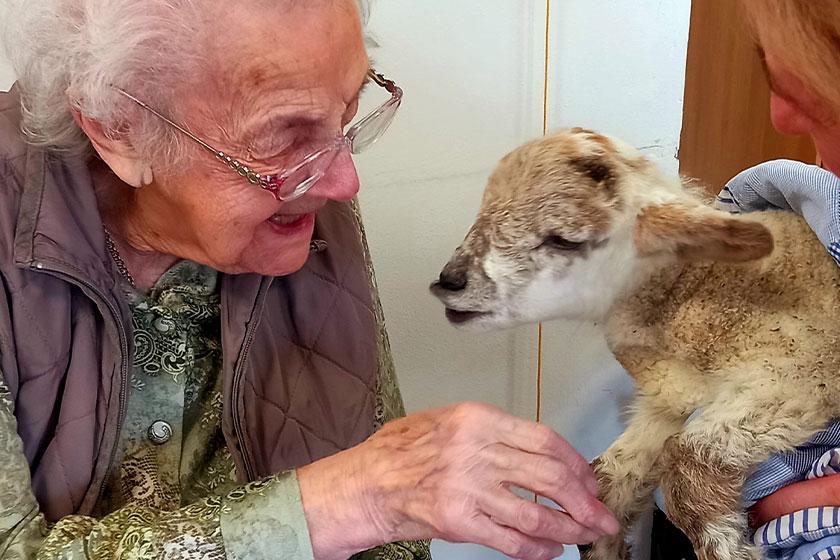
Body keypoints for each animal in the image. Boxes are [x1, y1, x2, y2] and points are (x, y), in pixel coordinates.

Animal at [430, 128, 840, 560]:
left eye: (564, 239)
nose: (450, 280)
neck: (694, 290)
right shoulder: (667, 401)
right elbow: (610, 479)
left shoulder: (799, 372)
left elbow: (685, 462)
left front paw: (731, 549)